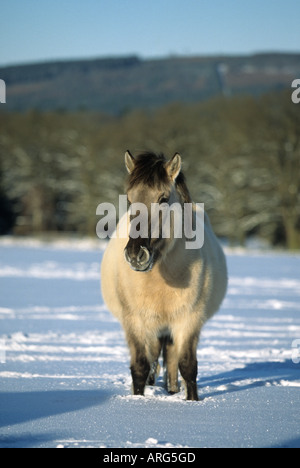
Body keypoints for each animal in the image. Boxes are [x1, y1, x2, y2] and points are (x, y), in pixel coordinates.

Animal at [101, 152, 227, 400]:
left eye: (163, 198)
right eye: (129, 199)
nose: (135, 255)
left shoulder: (188, 321)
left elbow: (187, 366)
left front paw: (192, 401)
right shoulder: (135, 323)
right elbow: (140, 367)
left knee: (170, 358)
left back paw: (172, 389)